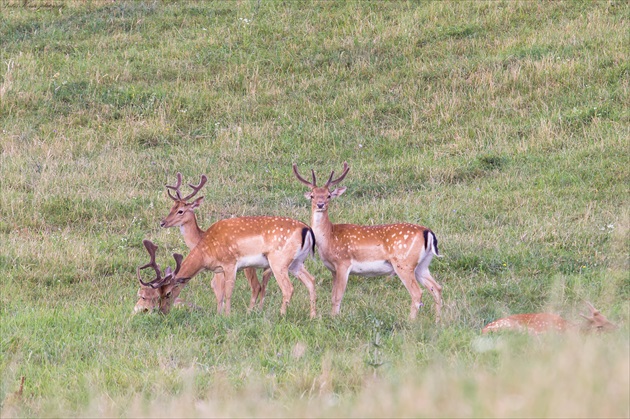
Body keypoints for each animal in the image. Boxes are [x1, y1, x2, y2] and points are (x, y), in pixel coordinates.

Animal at [135, 209, 318, 318]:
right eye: (157, 294)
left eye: (167, 293)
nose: (162, 311)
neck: (206, 250)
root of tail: (307, 230)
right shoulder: (219, 269)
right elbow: (220, 292)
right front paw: (219, 315)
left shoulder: (230, 263)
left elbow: (229, 291)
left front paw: (227, 316)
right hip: (296, 263)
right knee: (311, 280)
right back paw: (313, 316)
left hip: (278, 262)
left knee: (288, 288)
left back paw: (281, 315)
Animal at [158, 172, 272, 314]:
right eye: (171, 208)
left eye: (180, 211)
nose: (163, 222)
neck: (199, 238)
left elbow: (218, 289)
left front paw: (220, 313)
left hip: (249, 266)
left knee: (256, 286)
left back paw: (249, 312)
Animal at [292, 162, 444, 320]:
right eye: (312, 195)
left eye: (328, 195)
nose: (320, 204)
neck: (329, 237)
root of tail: (428, 233)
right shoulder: (333, 269)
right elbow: (333, 295)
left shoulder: (343, 263)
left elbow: (337, 297)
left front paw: (335, 319)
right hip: (422, 265)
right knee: (436, 287)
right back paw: (438, 321)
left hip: (404, 263)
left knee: (417, 292)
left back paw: (411, 321)